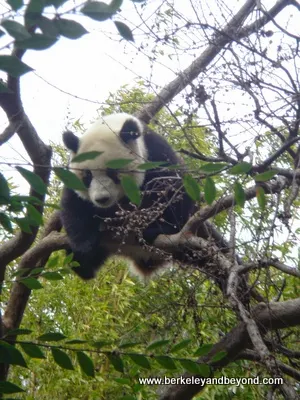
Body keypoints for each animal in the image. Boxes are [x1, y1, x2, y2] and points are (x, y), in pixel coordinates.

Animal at [60, 111, 196, 280]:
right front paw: (84, 249)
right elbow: (74, 205)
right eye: (88, 176)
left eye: (112, 172)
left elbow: (176, 192)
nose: (102, 199)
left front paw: (158, 229)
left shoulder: (155, 154)